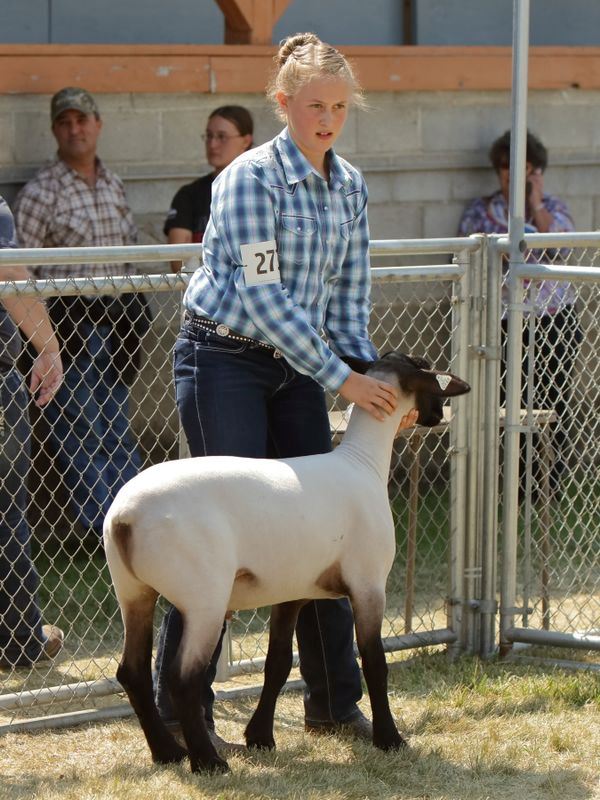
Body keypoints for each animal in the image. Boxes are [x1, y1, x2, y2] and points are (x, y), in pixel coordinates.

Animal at [103, 351, 470, 773]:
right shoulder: (368, 584)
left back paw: (167, 752)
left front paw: (260, 737)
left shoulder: (293, 591)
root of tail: (125, 518)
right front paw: (390, 739)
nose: (437, 416)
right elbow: (375, 662)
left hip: (133, 592)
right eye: (424, 369)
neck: (363, 462)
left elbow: (277, 664)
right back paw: (208, 761)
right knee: (183, 679)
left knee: (132, 672)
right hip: (203, 598)